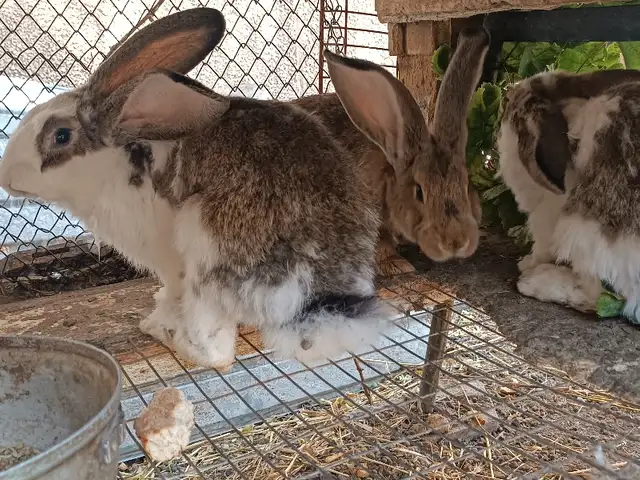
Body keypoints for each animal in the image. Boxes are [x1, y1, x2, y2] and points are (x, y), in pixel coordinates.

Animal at [0, 7, 399, 369]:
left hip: (202, 243)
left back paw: (162, 331)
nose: (6, 177)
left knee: (215, 352)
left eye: (60, 136)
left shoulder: (168, 259)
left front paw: (163, 311)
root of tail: (317, 298)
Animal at [497, 68, 640, 318]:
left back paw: (534, 281)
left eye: (508, 103)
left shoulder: (548, 213)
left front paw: (528, 262)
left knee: (604, 294)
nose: (508, 92)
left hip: (588, 226)